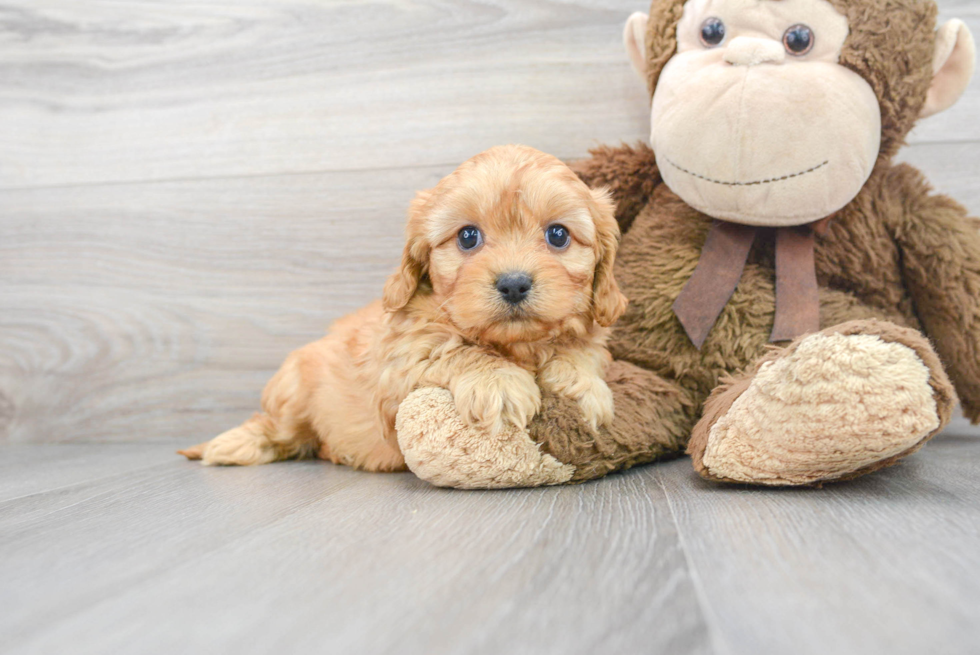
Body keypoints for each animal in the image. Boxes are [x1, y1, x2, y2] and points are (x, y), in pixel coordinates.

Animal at [180, 144, 628, 472]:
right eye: (468, 237)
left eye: (558, 235)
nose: (514, 283)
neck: (515, 345)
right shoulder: (399, 368)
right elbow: (454, 350)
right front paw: (498, 382)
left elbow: (581, 351)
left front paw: (582, 385)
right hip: (292, 391)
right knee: (277, 428)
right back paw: (232, 445)